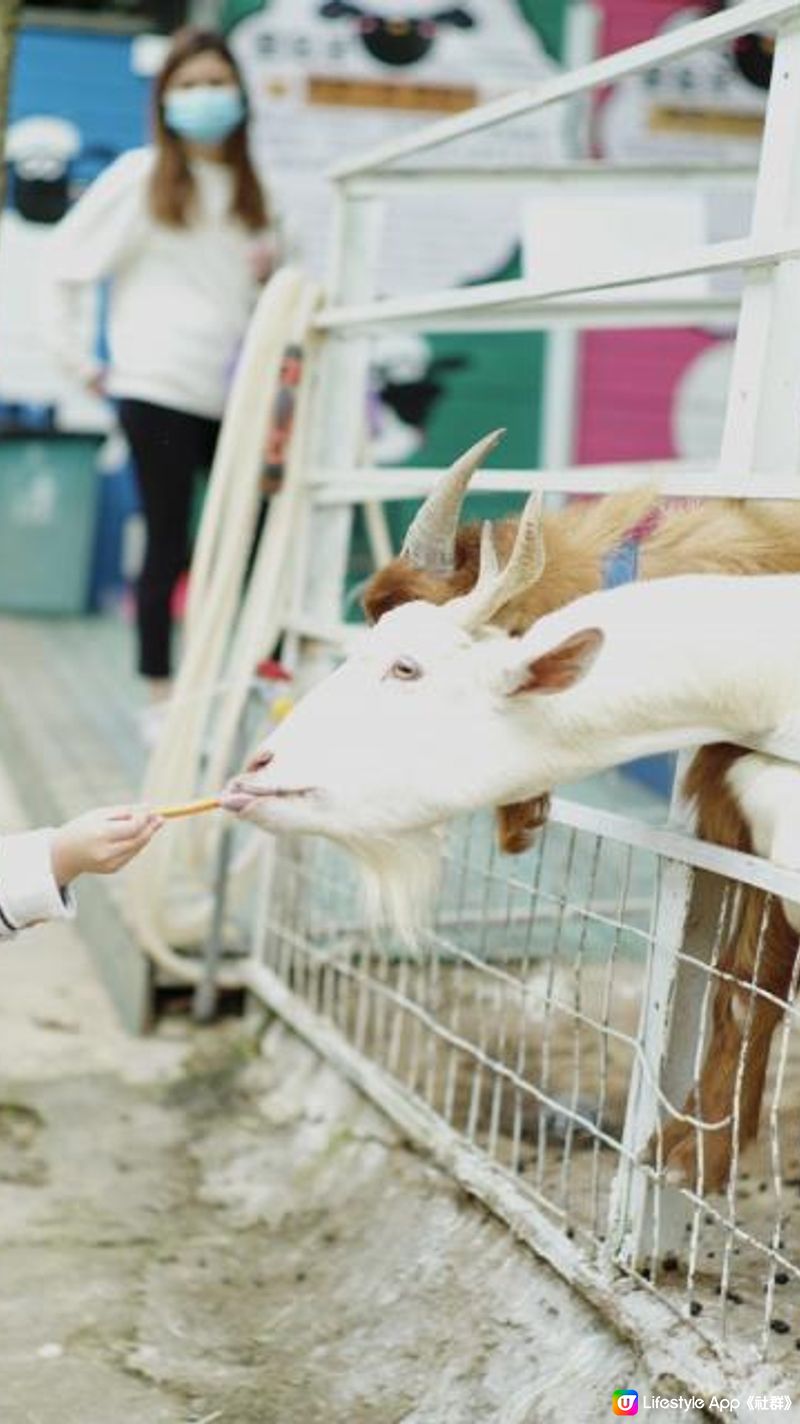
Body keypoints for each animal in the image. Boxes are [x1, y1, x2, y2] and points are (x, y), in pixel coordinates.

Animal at [362, 447, 800, 1190]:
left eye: (409, 666)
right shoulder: (732, 827)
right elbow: (737, 978)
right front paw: (698, 1143)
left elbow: (759, 977)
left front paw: (699, 1153)